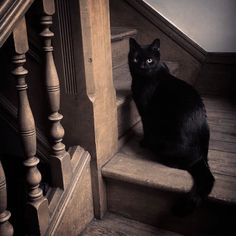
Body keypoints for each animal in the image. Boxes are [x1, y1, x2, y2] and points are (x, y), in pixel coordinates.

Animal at [128, 38, 215, 216]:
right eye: (136, 58)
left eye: (149, 60)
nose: (142, 66)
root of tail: (202, 157)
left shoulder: (145, 112)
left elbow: (147, 129)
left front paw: (144, 143)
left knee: (181, 164)